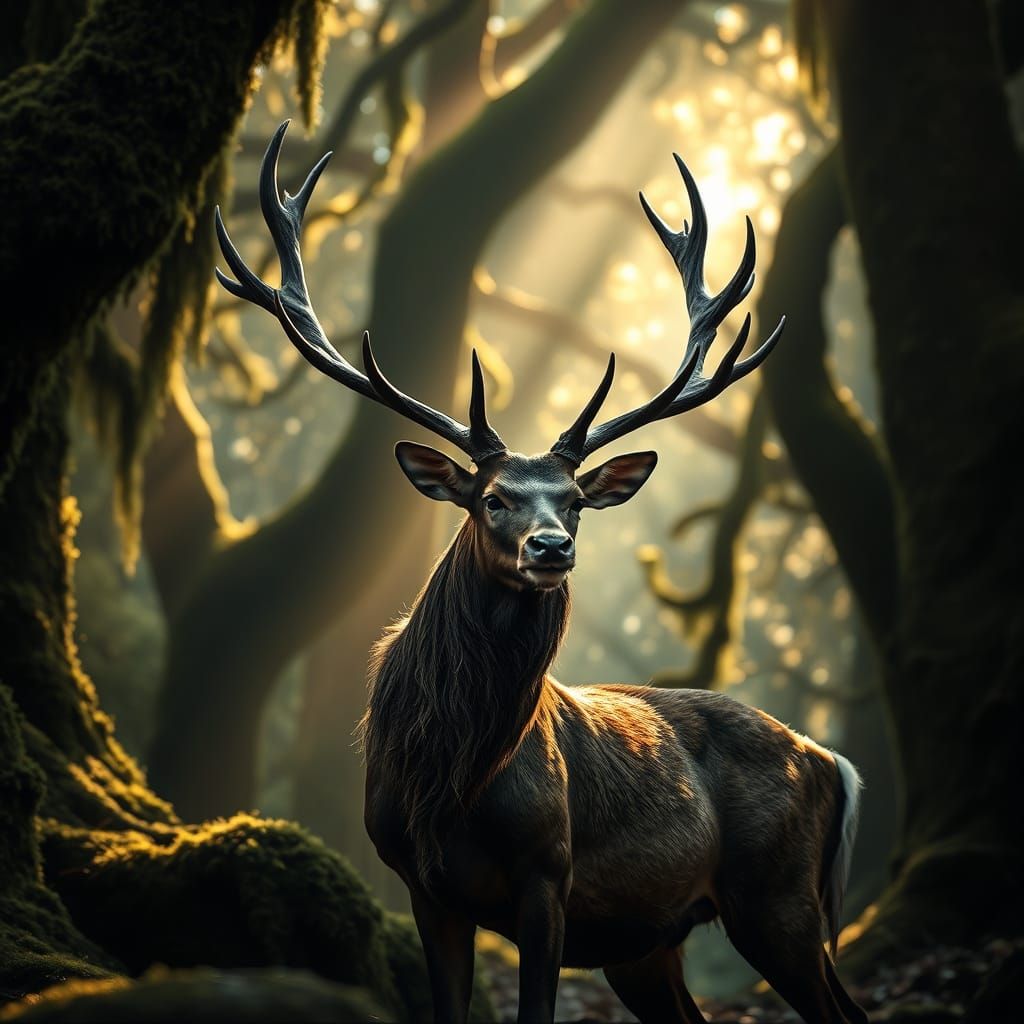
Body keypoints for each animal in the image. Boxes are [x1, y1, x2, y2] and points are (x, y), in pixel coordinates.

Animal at [216, 120, 868, 1024]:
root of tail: (830, 761)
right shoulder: (422, 884)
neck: (449, 776)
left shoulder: (548, 872)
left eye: (577, 501)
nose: (551, 548)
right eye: (492, 498)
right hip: (653, 939)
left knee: (845, 1009)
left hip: (779, 898)